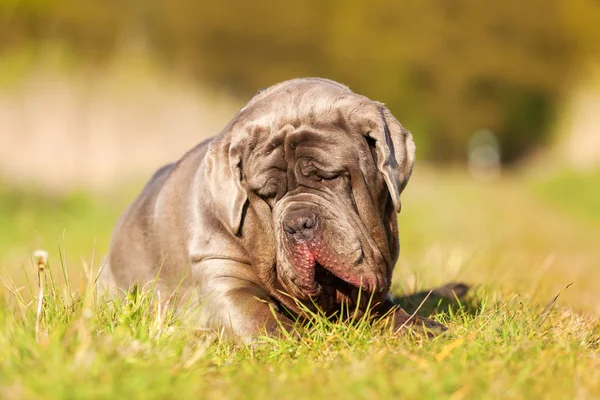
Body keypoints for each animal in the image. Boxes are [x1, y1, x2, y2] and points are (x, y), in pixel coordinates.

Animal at [99, 77, 450, 340]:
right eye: (266, 194)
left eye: (329, 176)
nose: (298, 224)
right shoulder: (224, 281)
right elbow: (261, 319)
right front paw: (293, 338)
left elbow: (390, 312)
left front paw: (424, 327)